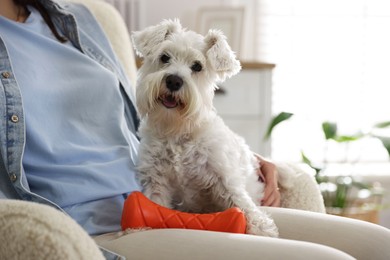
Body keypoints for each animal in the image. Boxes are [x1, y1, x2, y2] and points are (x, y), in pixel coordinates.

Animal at [133, 19, 278, 237]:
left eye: (197, 66)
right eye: (164, 57)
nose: (173, 80)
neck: (177, 128)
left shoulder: (223, 175)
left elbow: (241, 201)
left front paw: (261, 227)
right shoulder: (155, 179)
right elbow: (156, 203)